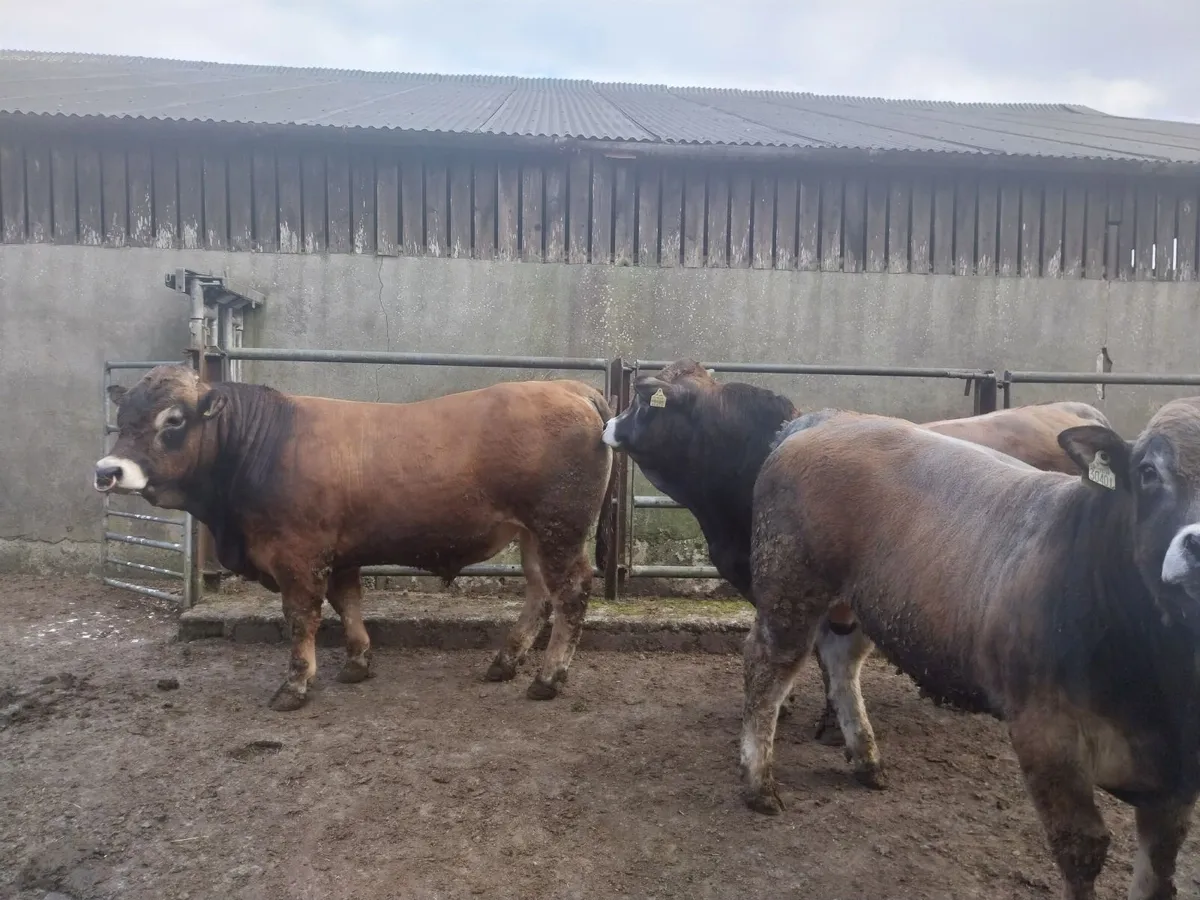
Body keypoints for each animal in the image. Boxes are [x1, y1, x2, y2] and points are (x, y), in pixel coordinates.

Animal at [94, 364, 615, 711]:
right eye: (122, 417)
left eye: (173, 420)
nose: (107, 470)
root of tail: (569, 386)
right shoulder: (339, 553)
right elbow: (347, 603)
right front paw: (357, 664)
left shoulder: (298, 555)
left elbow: (302, 617)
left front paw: (295, 685)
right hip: (533, 535)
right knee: (540, 592)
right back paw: (504, 662)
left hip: (559, 528)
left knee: (571, 592)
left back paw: (548, 677)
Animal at [741, 402, 1200, 900]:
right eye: (1148, 472)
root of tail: (830, 418)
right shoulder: (1046, 736)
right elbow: (1082, 848)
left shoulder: (1176, 782)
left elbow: (1159, 872)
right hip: (789, 585)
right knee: (767, 669)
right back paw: (758, 784)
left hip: (868, 601)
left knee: (842, 661)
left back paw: (866, 759)